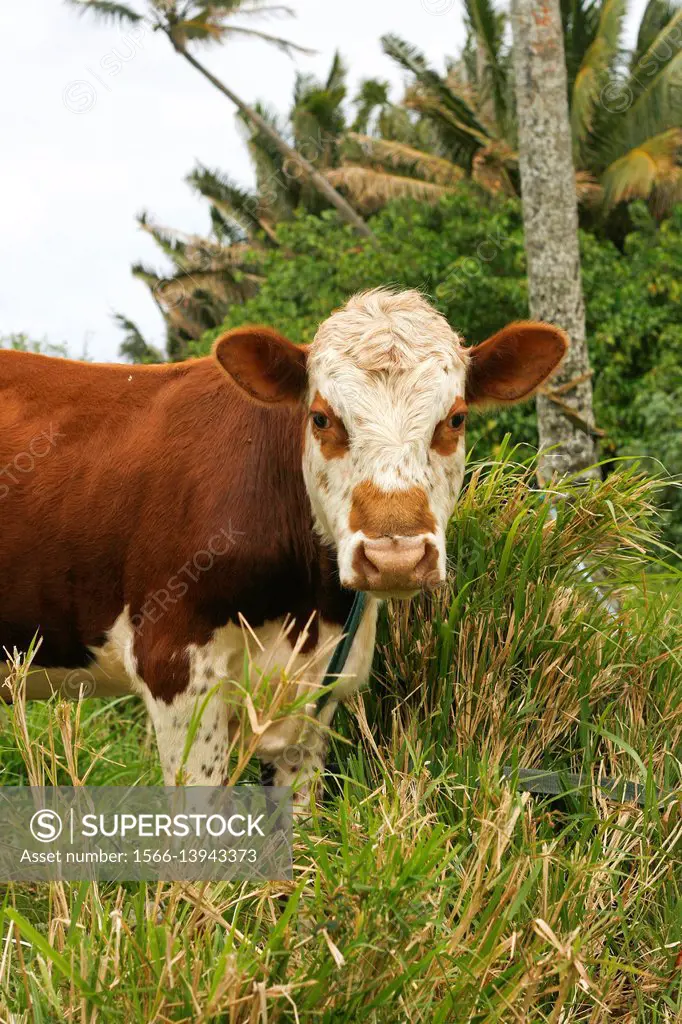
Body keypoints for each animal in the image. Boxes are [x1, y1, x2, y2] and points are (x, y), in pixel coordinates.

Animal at [0, 290, 561, 806]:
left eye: (456, 418)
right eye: (321, 418)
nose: (395, 557)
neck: (304, 607)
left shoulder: (323, 686)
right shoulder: (173, 663)